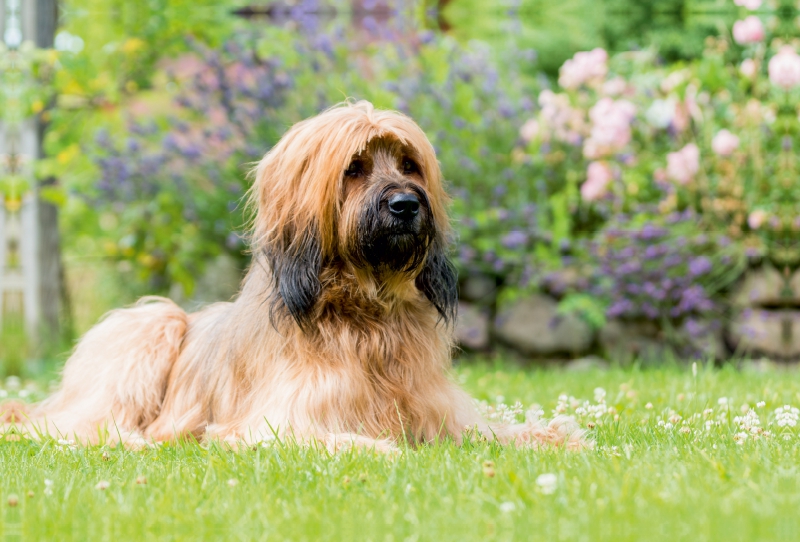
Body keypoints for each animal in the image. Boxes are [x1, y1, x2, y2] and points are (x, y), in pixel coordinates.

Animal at [15, 102, 584, 454]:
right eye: (354, 167)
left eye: (409, 163)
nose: (405, 205)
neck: (365, 311)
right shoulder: (275, 420)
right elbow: (309, 433)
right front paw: (376, 448)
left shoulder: (440, 410)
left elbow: (492, 430)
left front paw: (554, 436)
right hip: (147, 326)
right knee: (75, 423)